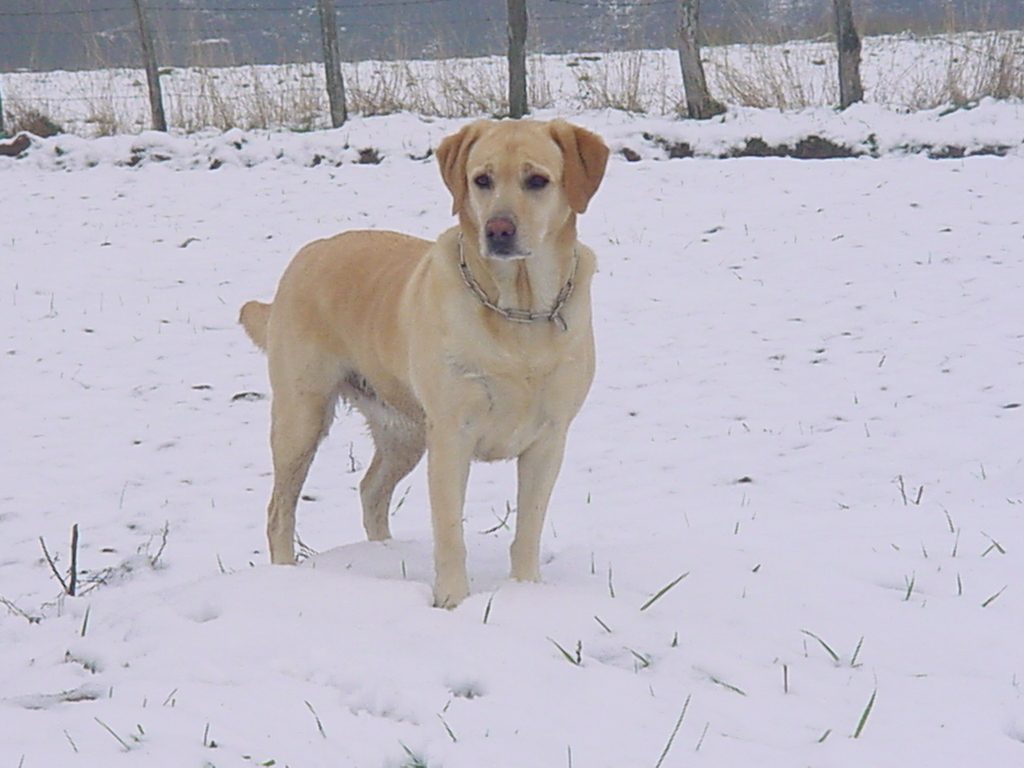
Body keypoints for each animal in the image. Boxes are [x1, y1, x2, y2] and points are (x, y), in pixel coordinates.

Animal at [239, 118, 606, 606]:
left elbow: (528, 529)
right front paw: (452, 601)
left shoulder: (549, 439)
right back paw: (286, 576)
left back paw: (383, 554)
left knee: (371, 490)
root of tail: (308, 251)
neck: (518, 311)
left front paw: (525, 590)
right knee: (279, 509)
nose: (498, 230)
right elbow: (450, 532)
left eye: (537, 181)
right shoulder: (451, 436)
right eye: (481, 180)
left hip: (405, 432)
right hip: (302, 418)